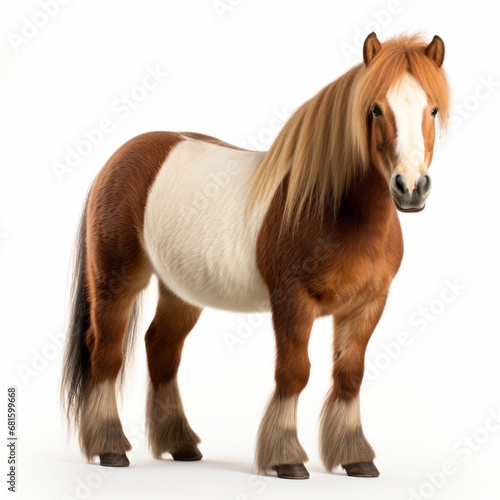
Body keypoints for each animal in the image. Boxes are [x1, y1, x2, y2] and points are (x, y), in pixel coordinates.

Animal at [61, 33, 450, 478]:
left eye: (432, 109)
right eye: (375, 109)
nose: (411, 188)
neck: (335, 208)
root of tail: (117, 159)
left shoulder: (367, 304)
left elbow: (350, 375)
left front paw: (356, 456)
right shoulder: (292, 301)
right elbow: (294, 373)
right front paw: (286, 457)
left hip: (181, 290)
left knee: (161, 347)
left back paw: (180, 443)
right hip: (116, 281)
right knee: (105, 352)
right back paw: (110, 446)